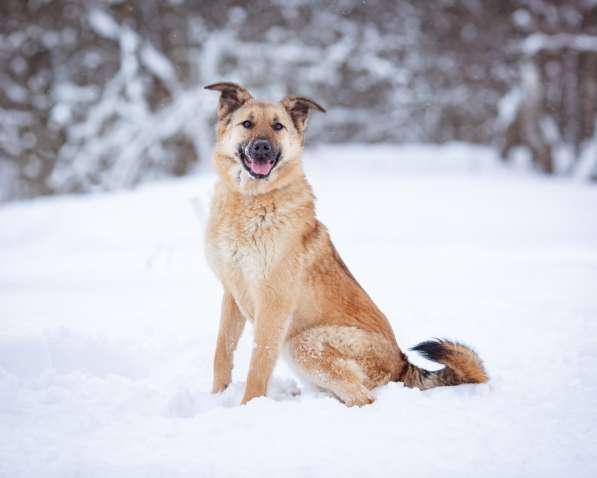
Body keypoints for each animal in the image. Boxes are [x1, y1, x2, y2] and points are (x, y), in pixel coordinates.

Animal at [203, 83, 486, 408]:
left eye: (277, 126)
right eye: (247, 124)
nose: (262, 147)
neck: (250, 200)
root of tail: (402, 363)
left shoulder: (273, 302)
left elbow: (259, 363)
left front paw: (249, 406)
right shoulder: (232, 294)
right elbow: (222, 351)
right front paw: (217, 396)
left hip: (302, 342)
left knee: (364, 398)